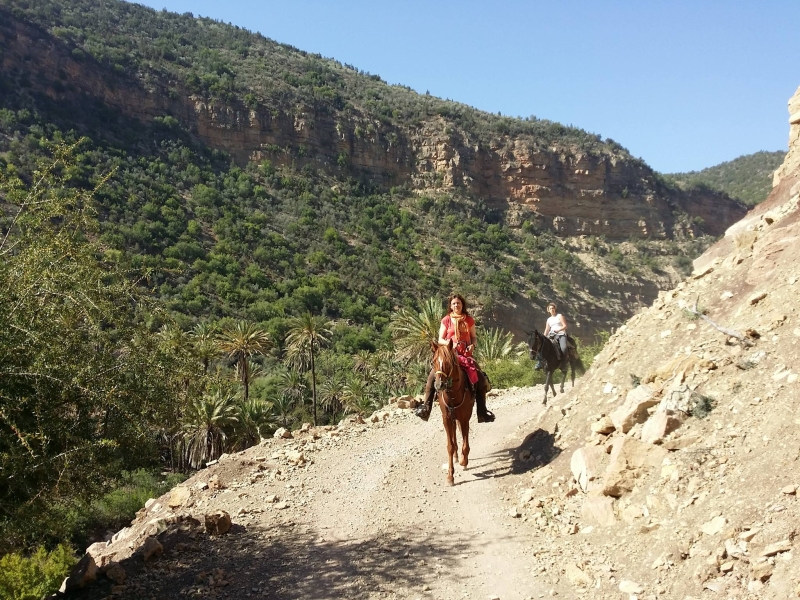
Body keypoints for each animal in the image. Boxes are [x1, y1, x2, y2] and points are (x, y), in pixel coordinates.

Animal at [432, 340, 476, 486]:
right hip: (452, 418)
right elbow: (450, 446)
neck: (453, 394)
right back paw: (457, 456)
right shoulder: (446, 419)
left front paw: (464, 461)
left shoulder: (465, 418)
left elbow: (465, 442)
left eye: (449, 362)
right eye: (433, 361)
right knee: (454, 436)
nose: (439, 385)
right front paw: (450, 476)